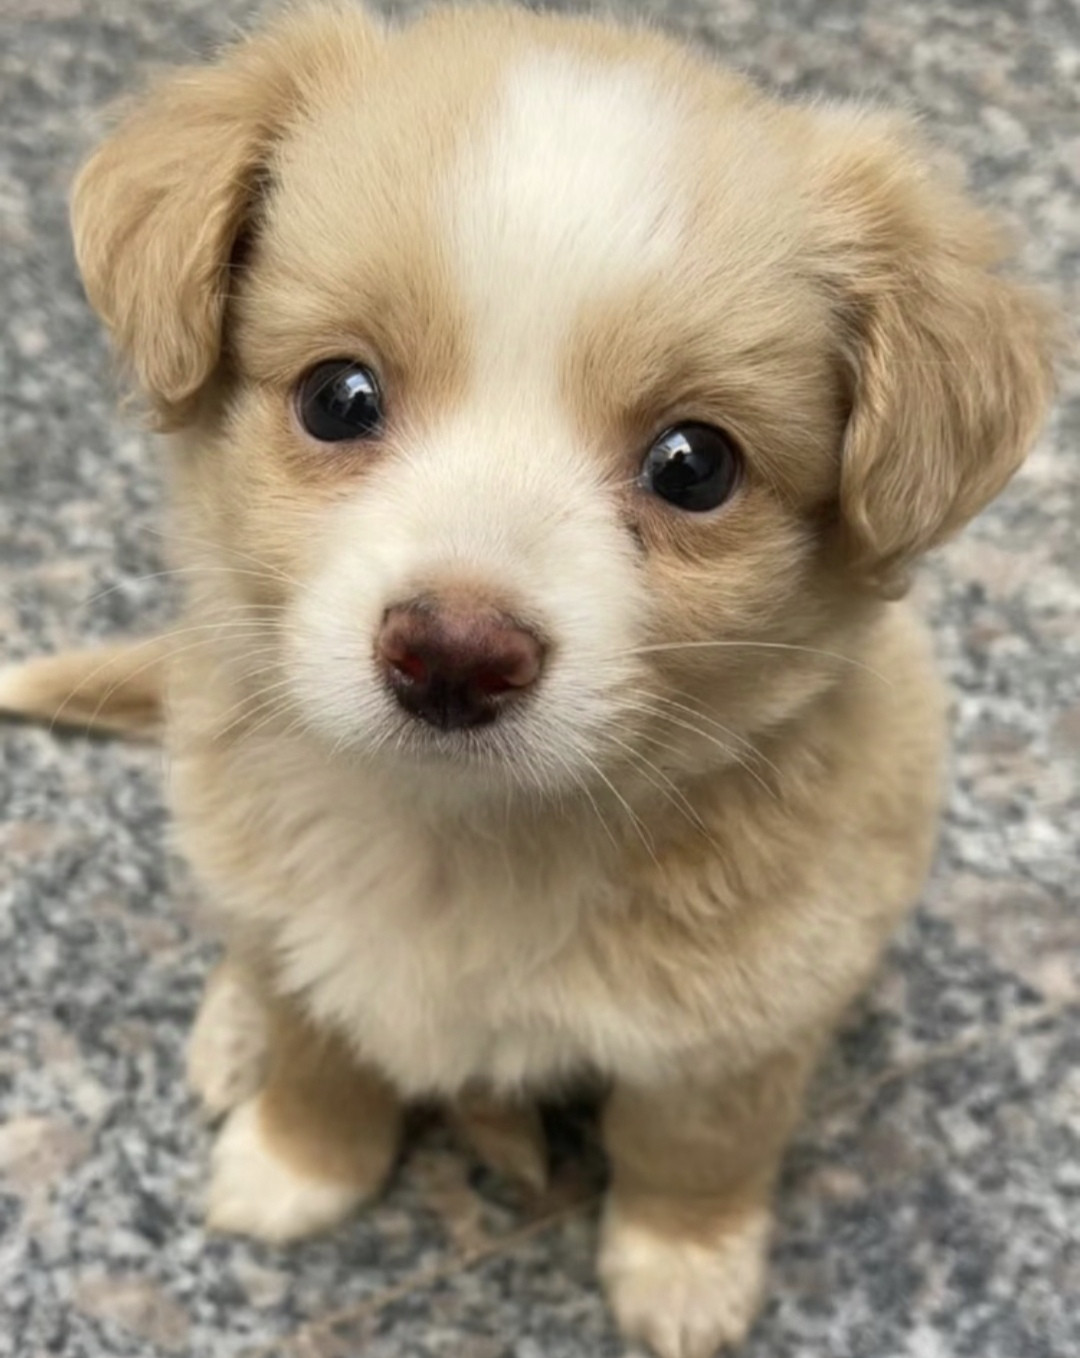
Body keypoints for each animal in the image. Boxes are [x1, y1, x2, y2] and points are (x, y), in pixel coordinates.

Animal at [0, 5, 1055, 1355]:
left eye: (694, 464)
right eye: (339, 396)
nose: (453, 651)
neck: (467, 836)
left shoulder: (744, 1018)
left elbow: (694, 1146)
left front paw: (685, 1268)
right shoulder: (304, 929)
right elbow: (319, 1043)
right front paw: (296, 1161)